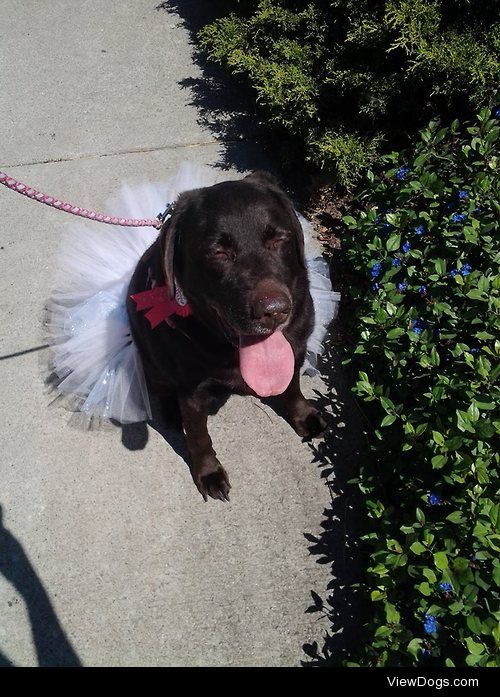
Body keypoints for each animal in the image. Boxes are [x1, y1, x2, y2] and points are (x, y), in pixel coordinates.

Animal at [127, 173, 326, 500]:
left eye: (278, 239)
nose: (274, 311)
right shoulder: (192, 391)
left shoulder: (295, 350)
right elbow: (199, 436)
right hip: (151, 359)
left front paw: (303, 414)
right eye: (218, 252)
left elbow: (293, 388)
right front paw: (208, 472)